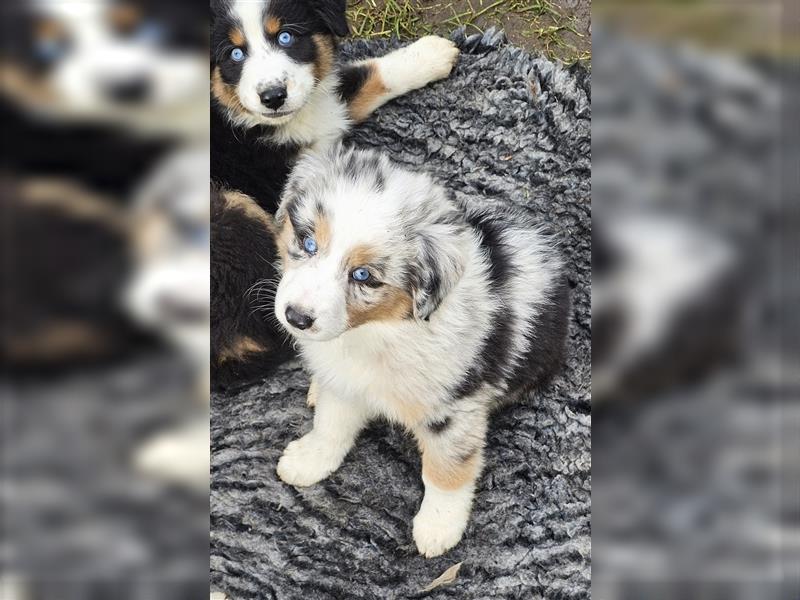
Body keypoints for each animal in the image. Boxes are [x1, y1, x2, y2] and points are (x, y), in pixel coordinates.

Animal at [211, 0, 462, 390]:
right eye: (234, 54)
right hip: (232, 213)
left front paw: (430, 53)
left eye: (286, 37)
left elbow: (359, 79)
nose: (273, 97)